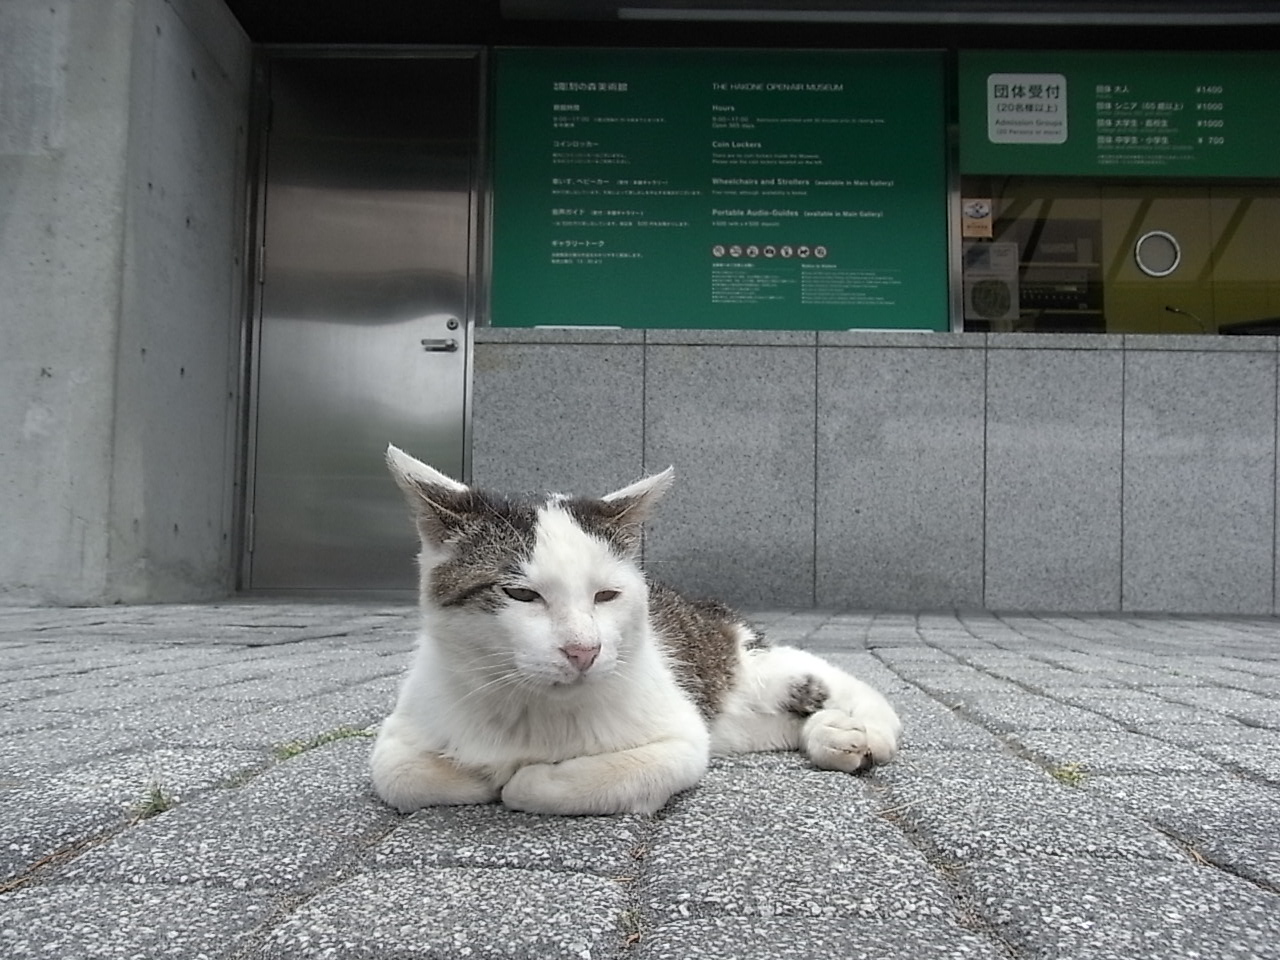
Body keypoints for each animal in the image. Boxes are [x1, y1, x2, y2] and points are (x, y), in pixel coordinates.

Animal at [373, 448, 901, 814]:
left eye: (607, 595)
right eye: (521, 594)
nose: (583, 651)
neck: (533, 712)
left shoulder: (681, 740)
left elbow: (549, 782)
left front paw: (517, 779)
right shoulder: (399, 732)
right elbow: (399, 774)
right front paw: (480, 774)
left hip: (749, 669)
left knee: (832, 679)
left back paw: (863, 732)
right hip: (734, 725)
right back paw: (830, 736)